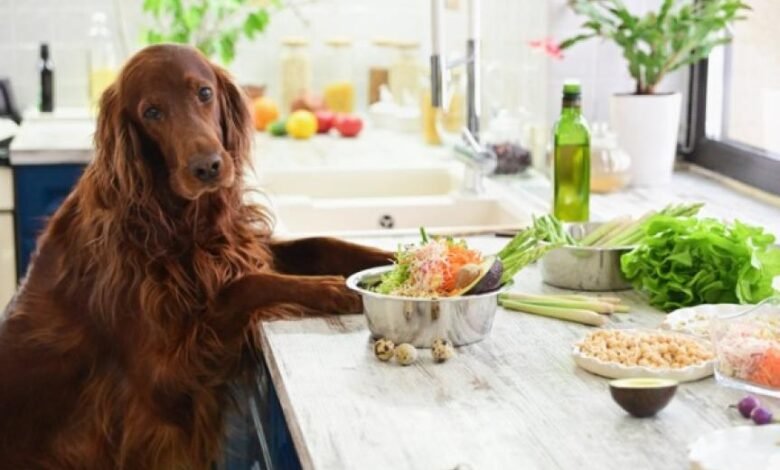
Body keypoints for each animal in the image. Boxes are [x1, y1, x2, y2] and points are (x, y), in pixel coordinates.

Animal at [0, 45, 390, 470]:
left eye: (204, 93)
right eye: (152, 112)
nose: (207, 167)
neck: (174, 218)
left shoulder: (237, 249)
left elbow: (321, 243)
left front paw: (395, 256)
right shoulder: (167, 373)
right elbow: (246, 285)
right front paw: (334, 289)